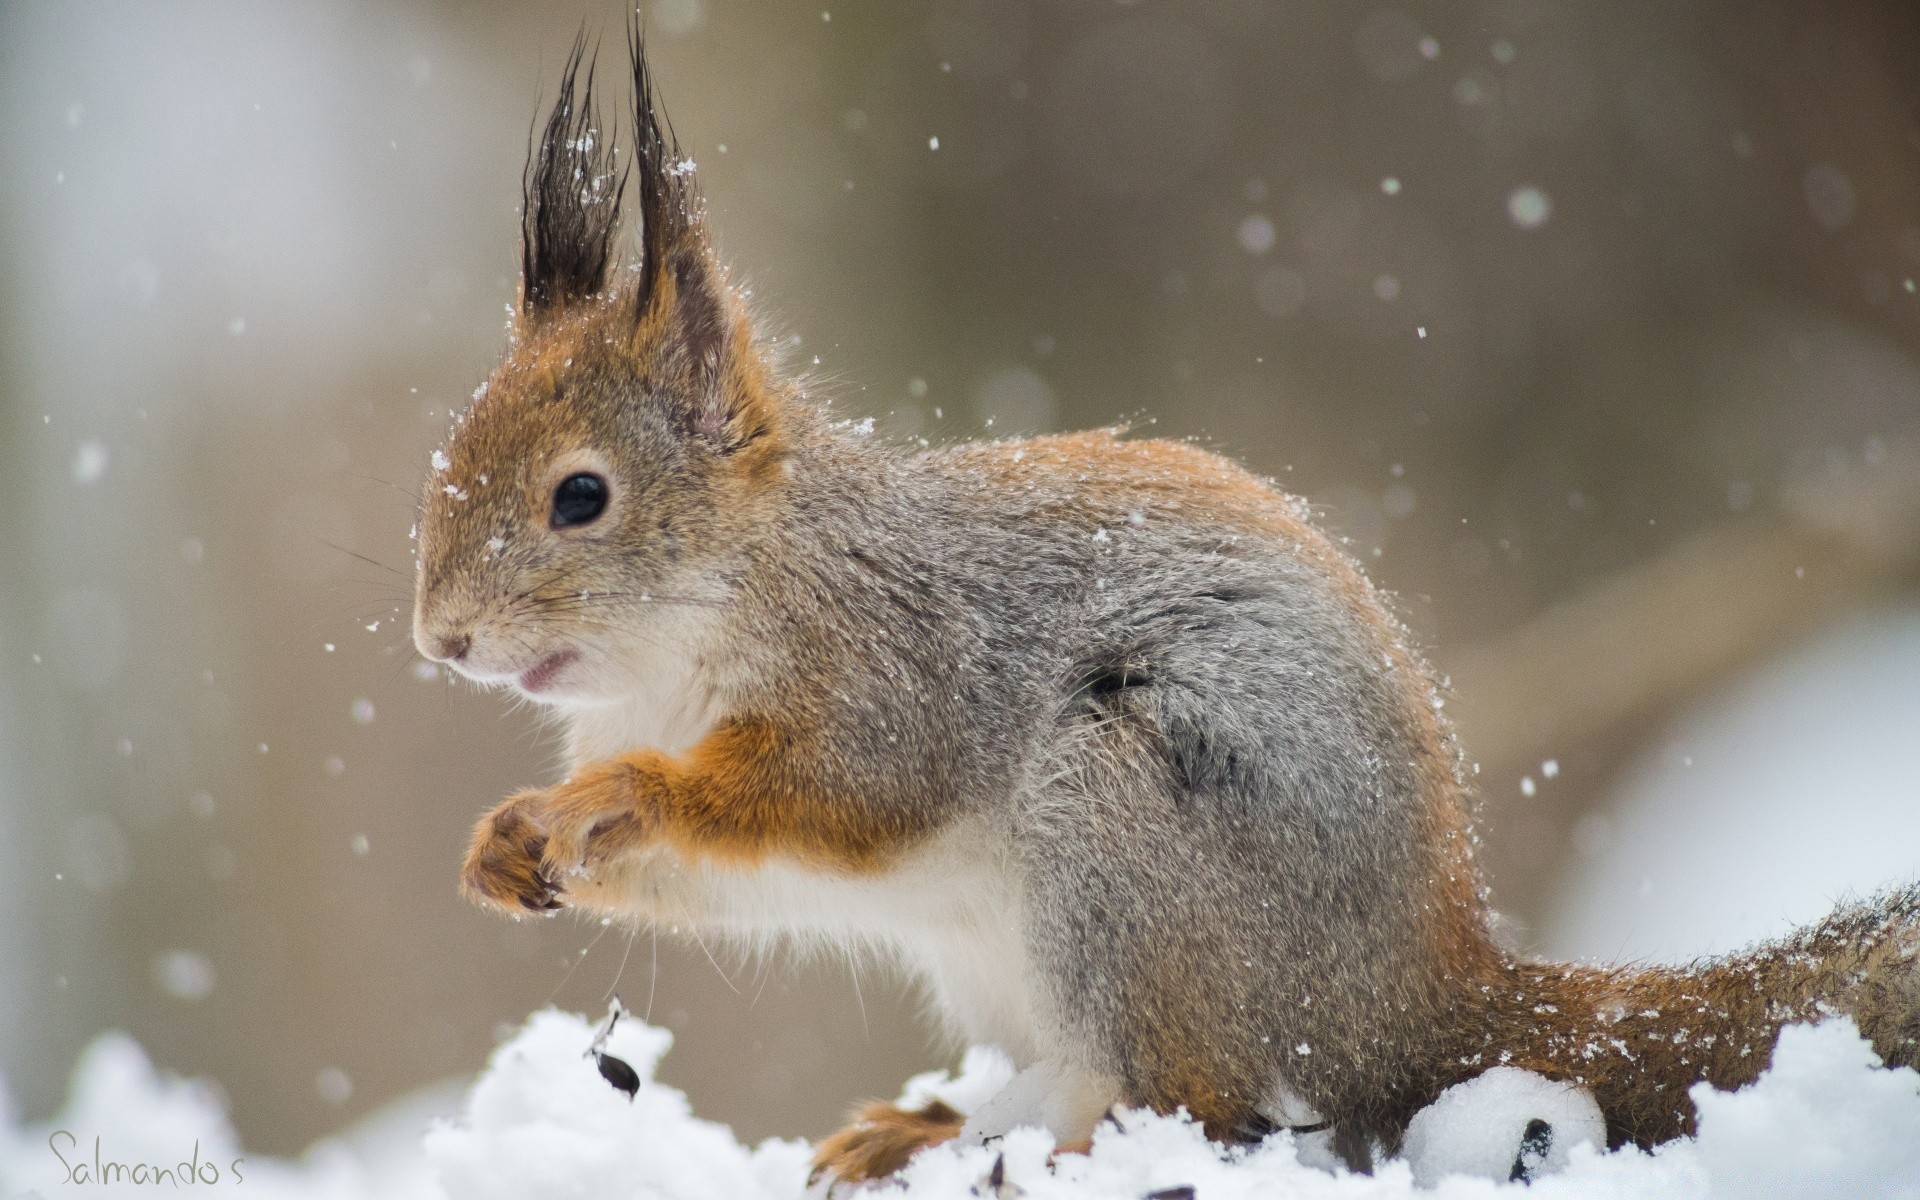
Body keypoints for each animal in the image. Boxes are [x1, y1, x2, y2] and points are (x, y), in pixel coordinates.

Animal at [408, 32, 1920, 1182]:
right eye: (451, 456)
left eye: (582, 497)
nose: (442, 640)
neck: (697, 628)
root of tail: (1420, 1003)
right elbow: (706, 879)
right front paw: (504, 846)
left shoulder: (898, 674)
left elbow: (827, 791)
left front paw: (622, 796)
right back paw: (928, 1128)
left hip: (1126, 828)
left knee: (1199, 1100)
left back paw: (1026, 1147)